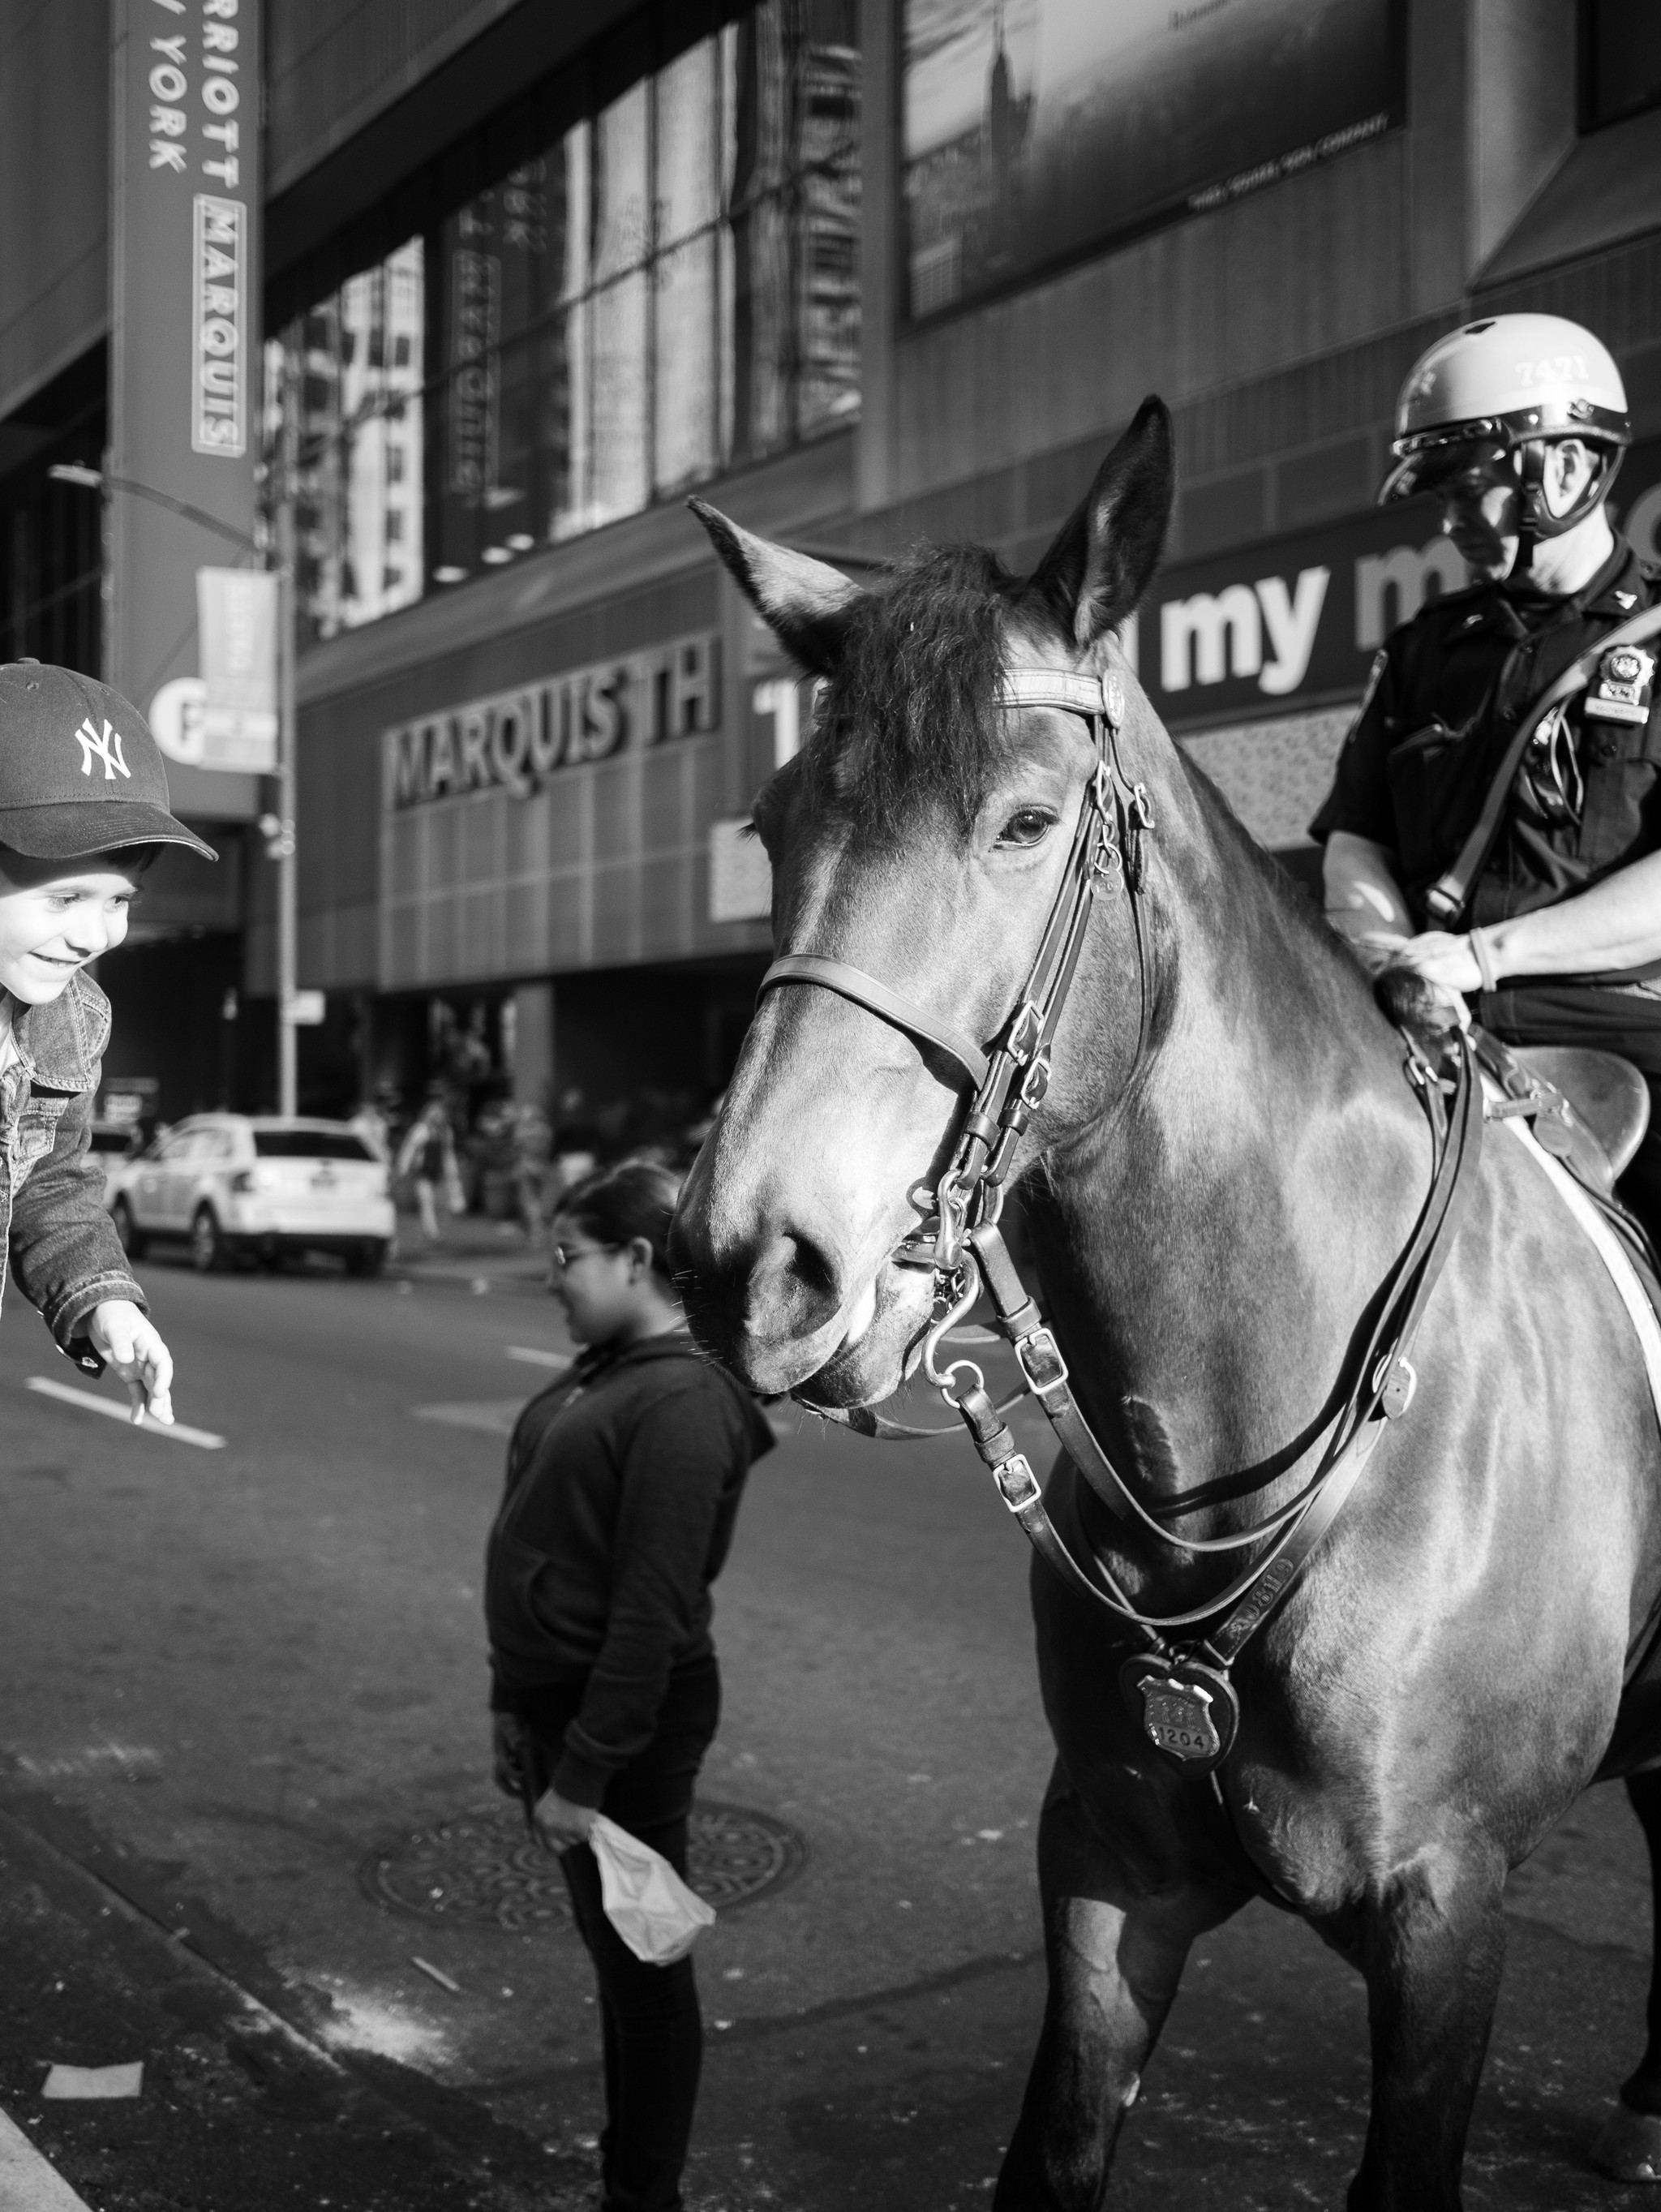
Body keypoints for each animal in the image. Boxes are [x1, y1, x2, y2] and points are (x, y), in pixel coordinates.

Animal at [667, 402, 1661, 2212]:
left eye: (1023, 823)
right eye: (774, 826)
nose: (749, 1257)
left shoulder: (1447, 1915)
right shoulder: (1105, 1866)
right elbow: (1055, 2145)